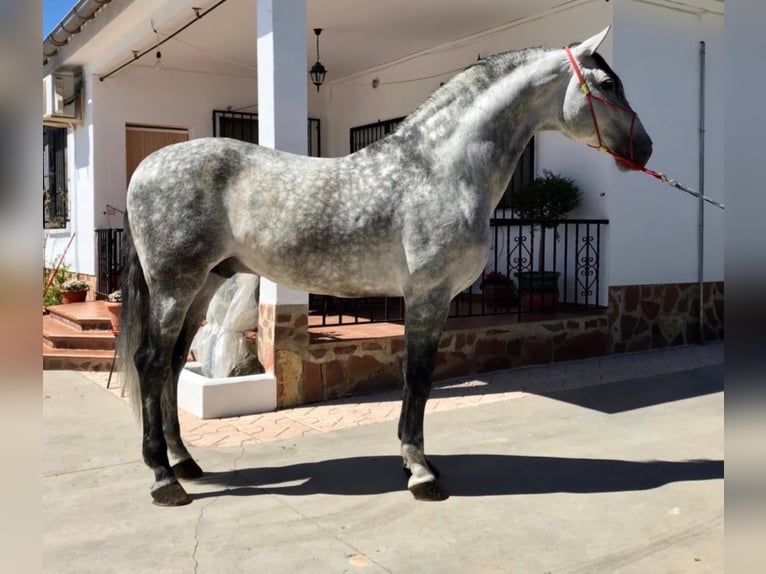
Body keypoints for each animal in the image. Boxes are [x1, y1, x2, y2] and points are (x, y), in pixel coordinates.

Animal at [118, 27, 656, 506]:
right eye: (607, 84)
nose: (645, 149)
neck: (440, 170)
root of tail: (148, 167)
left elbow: (417, 380)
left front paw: (414, 461)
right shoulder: (428, 296)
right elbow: (418, 379)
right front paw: (421, 472)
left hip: (204, 285)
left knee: (172, 365)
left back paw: (186, 463)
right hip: (175, 285)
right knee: (151, 363)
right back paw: (164, 480)